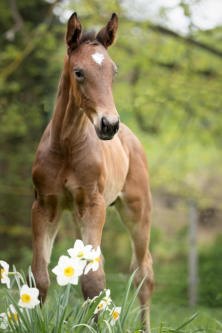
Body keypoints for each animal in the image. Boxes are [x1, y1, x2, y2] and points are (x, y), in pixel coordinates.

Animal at [30, 12, 153, 330]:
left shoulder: (93, 204)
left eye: (114, 72)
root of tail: (131, 138)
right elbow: (40, 276)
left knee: (143, 271)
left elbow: (93, 281)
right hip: (76, 214)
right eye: (79, 72)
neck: (66, 146)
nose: (109, 124)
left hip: (137, 211)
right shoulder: (45, 205)